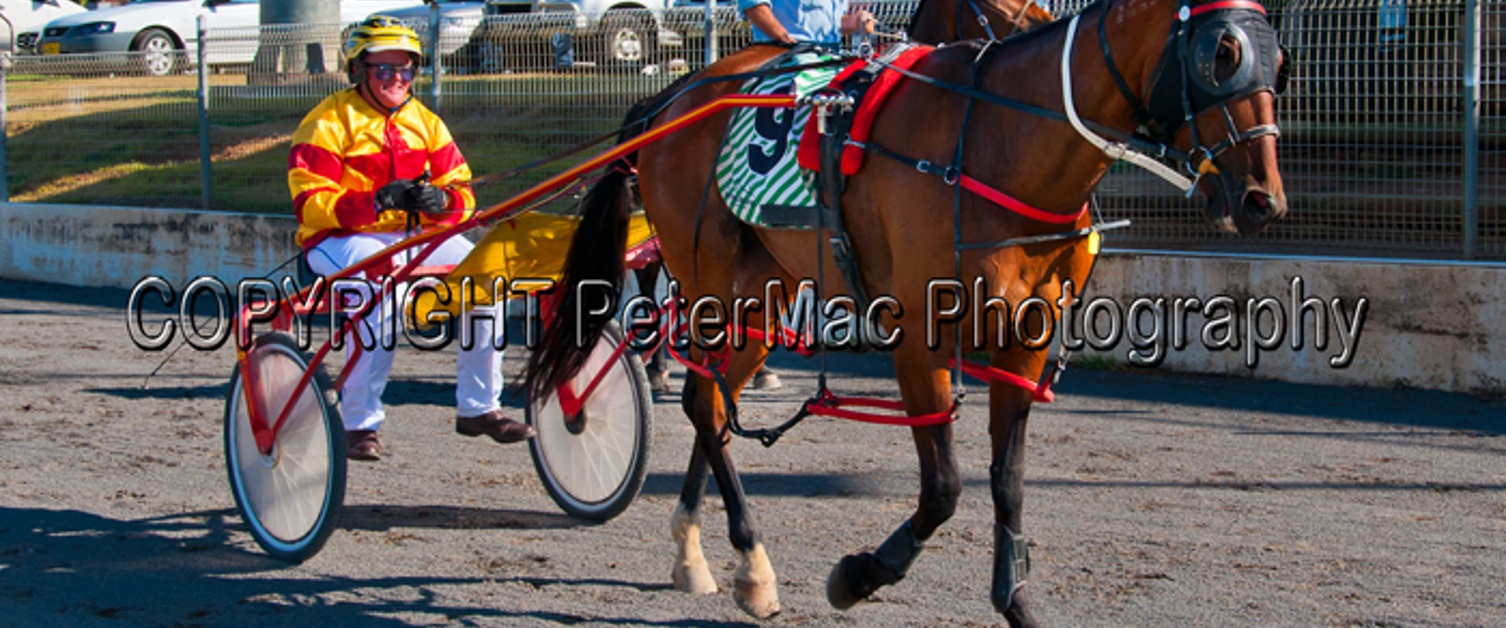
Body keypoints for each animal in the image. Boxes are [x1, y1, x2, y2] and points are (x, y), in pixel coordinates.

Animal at [527, 0, 1283, 620]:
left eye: (1277, 57)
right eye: (1222, 53)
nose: (1260, 199)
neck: (998, 139)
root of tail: (673, 97)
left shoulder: (1025, 340)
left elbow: (1008, 482)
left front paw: (1016, 602)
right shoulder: (920, 336)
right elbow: (944, 487)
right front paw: (861, 574)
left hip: (763, 293)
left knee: (710, 402)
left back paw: (707, 557)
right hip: (708, 274)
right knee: (699, 398)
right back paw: (739, 549)